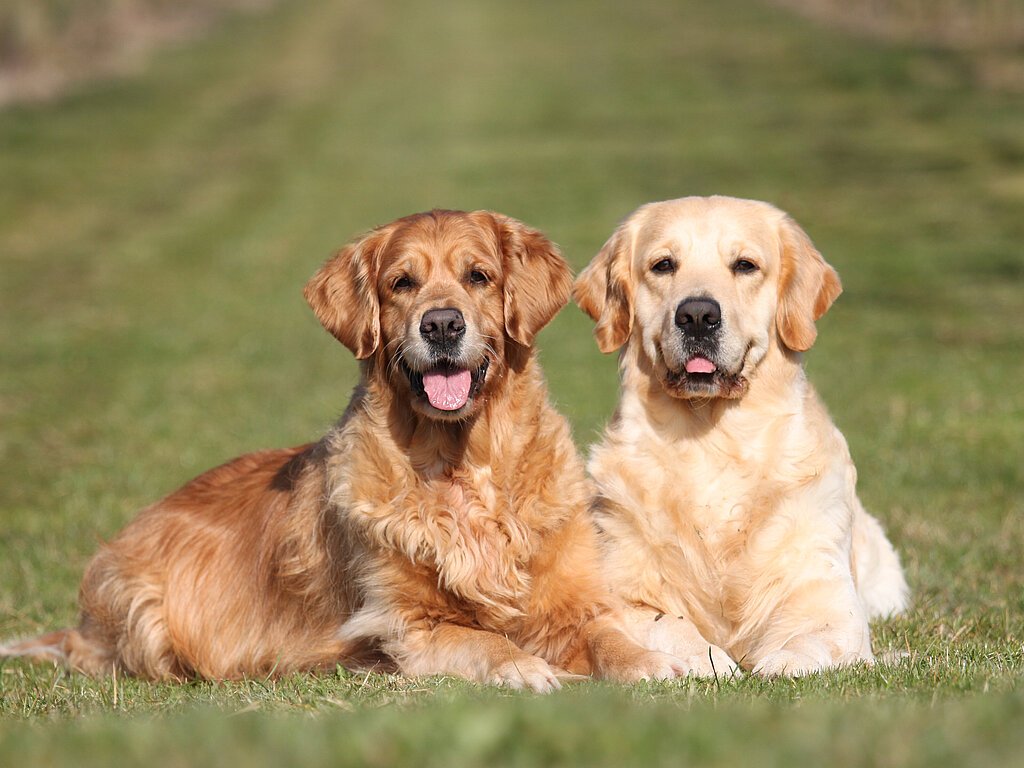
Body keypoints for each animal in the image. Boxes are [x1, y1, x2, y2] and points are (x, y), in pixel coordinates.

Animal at [2, 207, 696, 688]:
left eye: (478, 276)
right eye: (401, 283)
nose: (441, 324)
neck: (459, 464)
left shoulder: (568, 599)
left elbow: (606, 634)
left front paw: (651, 661)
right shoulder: (404, 623)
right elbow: (480, 639)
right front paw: (521, 666)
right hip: (141, 615)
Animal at [573, 195, 909, 675]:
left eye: (745, 265)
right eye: (663, 265)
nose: (697, 315)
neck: (712, 442)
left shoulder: (827, 595)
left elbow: (815, 638)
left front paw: (779, 663)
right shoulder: (620, 591)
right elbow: (668, 625)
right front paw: (708, 662)